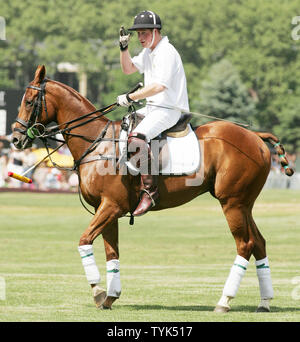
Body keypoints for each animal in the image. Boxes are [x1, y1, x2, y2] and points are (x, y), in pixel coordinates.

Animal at [13, 66, 292, 312]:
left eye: (29, 101)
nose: (16, 139)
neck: (97, 143)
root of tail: (257, 137)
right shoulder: (108, 209)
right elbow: (111, 253)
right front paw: (111, 296)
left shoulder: (111, 206)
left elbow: (84, 241)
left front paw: (98, 291)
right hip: (245, 203)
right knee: (259, 242)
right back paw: (265, 302)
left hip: (231, 202)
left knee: (245, 244)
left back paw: (224, 301)